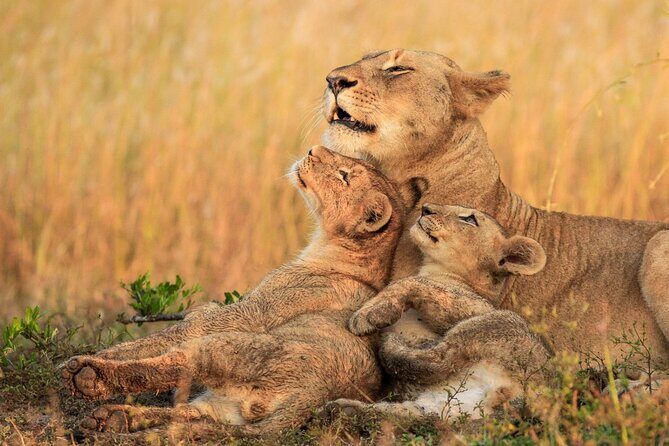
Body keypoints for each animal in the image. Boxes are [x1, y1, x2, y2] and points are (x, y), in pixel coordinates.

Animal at [60, 145, 422, 436]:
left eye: (345, 176)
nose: (313, 149)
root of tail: (310, 398)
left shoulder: (249, 313)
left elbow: (169, 334)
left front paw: (96, 355)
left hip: (225, 348)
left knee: (173, 364)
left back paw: (87, 375)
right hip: (223, 409)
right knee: (187, 419)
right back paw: (112, 419)